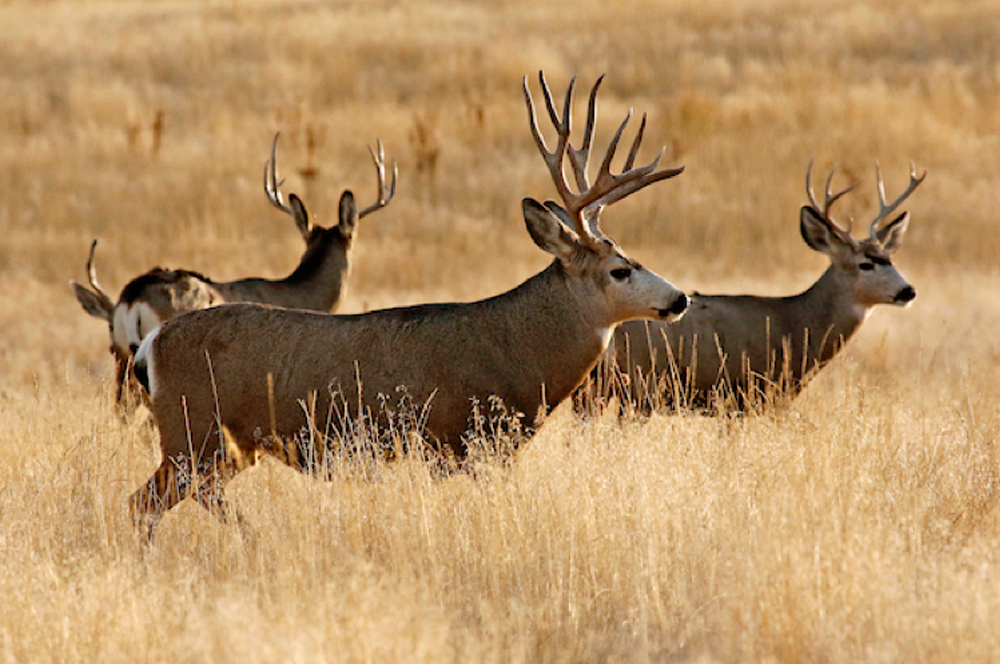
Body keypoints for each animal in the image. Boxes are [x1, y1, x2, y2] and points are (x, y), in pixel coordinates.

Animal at [127, 72, 691, 536]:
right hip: (192, 430)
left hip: (225, 445)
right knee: (146, 503)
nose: (680, 298)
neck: (515, 349)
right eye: (621, 269)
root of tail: (150, 346)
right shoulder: (454, 441)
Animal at [576, 160, 925, 415]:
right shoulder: (745, 394)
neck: (797, 325)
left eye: (890, 258)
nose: (908, 291)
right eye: (866, 264)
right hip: (635, 386)